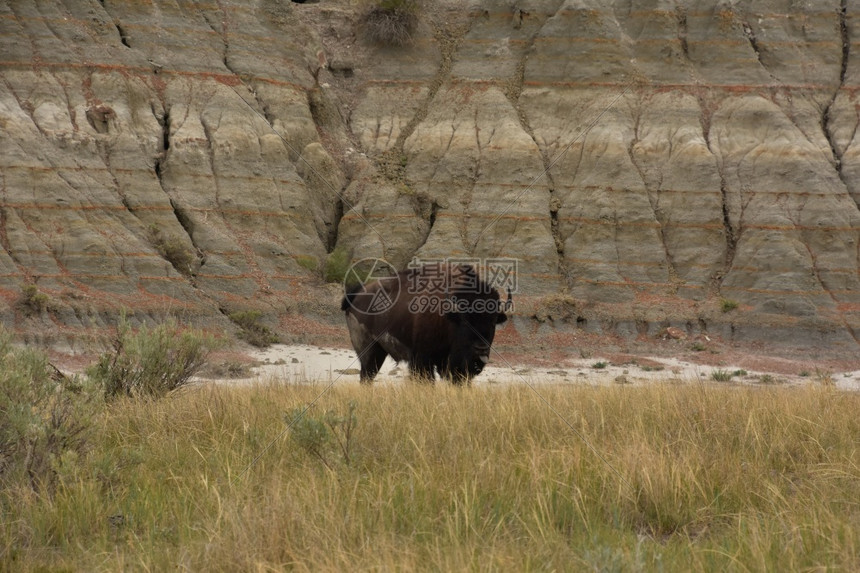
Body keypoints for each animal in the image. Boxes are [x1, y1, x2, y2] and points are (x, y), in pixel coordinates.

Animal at [340, 264, 510, 384]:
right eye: (464, 321)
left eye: (493, 321)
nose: (480, 349)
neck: (449, 317)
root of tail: (356, 294)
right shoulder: (423, 360)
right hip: (369, 351)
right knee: (366, 376)